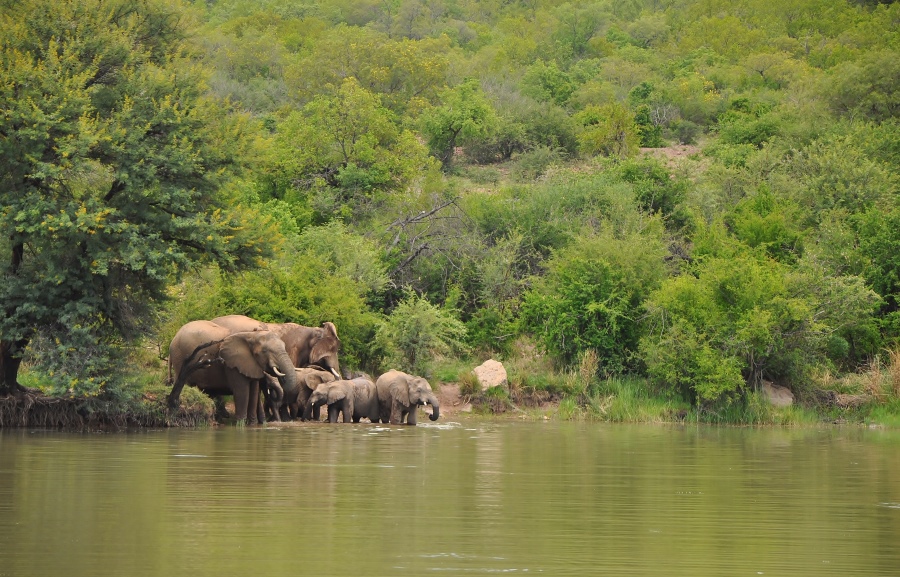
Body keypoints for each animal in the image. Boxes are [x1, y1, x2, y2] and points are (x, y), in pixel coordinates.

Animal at [165, 320, 298, 424]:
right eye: (265, 351)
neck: (251, 334)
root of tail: (173, 338)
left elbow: (254, 392)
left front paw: (253, 424)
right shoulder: (232, 364)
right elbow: (242, 391)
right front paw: (240, 425)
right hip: (180, 358)